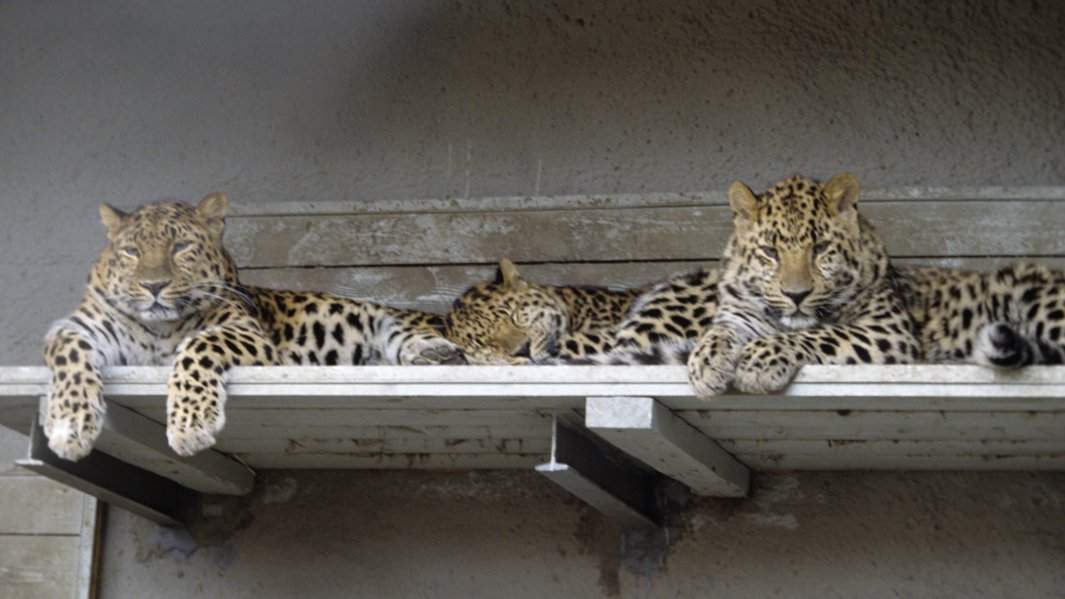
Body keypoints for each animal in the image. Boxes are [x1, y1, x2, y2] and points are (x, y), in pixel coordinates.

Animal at [43, 193, 463, 462]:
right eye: (131, 252)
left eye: (180, 248)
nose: (154, 286)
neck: (160, 330)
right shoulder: (78, 326)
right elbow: (67, 352)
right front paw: (69, 424)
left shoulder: (248, 332)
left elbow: (196, 346)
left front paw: (190, 425)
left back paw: (436, 351)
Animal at [687, 172, 922, 396]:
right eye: (770, 252)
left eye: (820, 248)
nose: (796, 295)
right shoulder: (739, 312)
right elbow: (719, 331)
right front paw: (705, 363)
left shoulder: (887, 328)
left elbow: (824, 334)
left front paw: (758, 359)